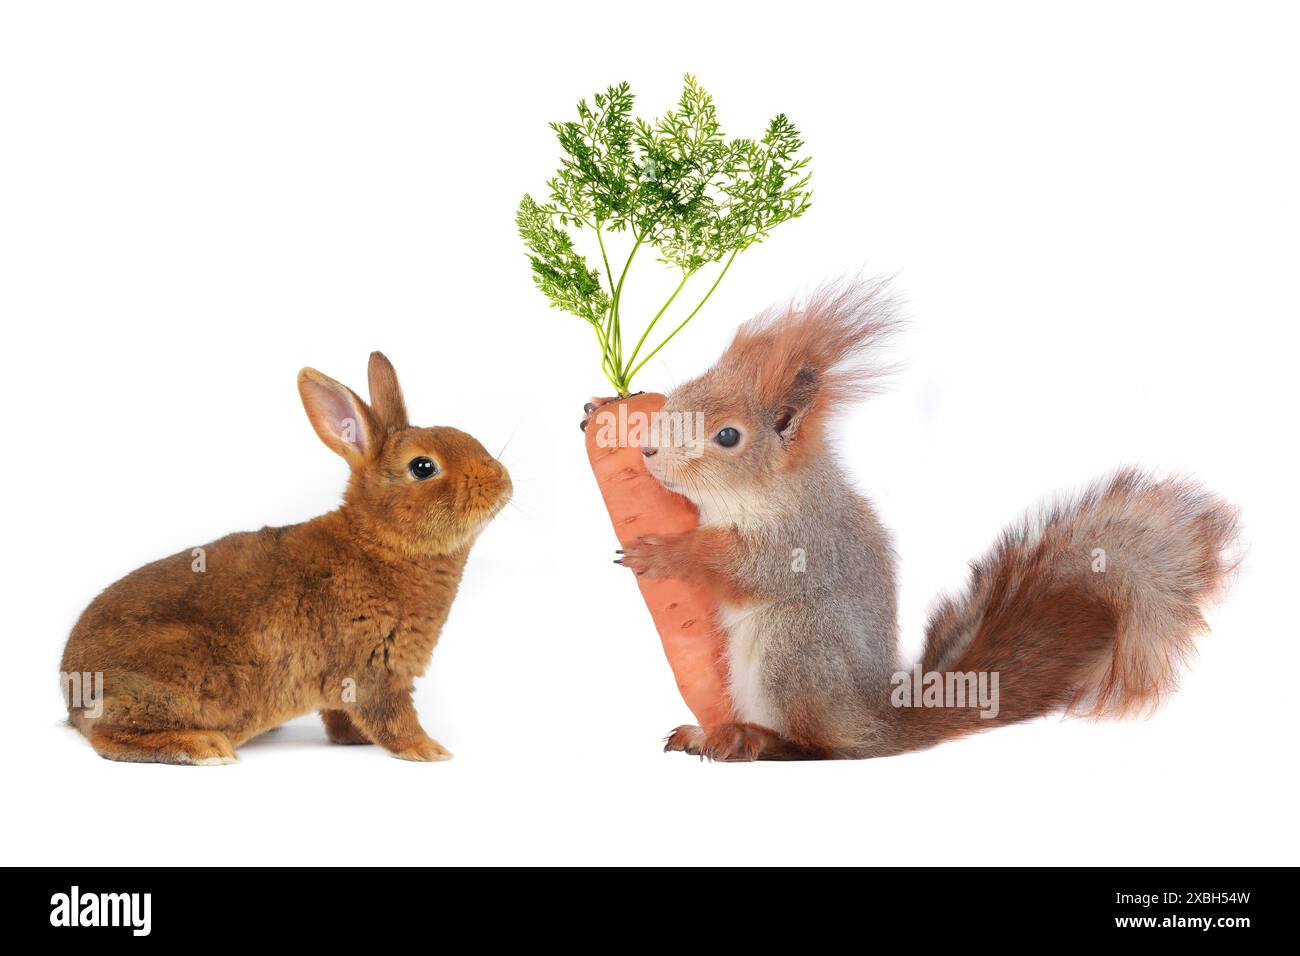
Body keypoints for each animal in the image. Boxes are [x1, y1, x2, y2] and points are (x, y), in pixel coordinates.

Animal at [59, 351, 511, 764]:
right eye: (422, 467)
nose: (502, 482)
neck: (378, 541)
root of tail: (73, 690)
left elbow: (341, 715)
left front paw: (354, 740)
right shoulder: (373, 669)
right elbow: (393, 718)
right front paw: (430, 750)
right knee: (108, 736)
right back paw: (204, 747)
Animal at [617, 281, 1241, 760]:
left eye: (728, 436)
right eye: (686, 388)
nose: (649, 450)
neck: (755, 493)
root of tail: (872, 722)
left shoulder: (805, 539)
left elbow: (750, 569)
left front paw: (665, 553)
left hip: (796, 649)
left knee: (818, 747)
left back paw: (755, 741)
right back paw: (707, 732)